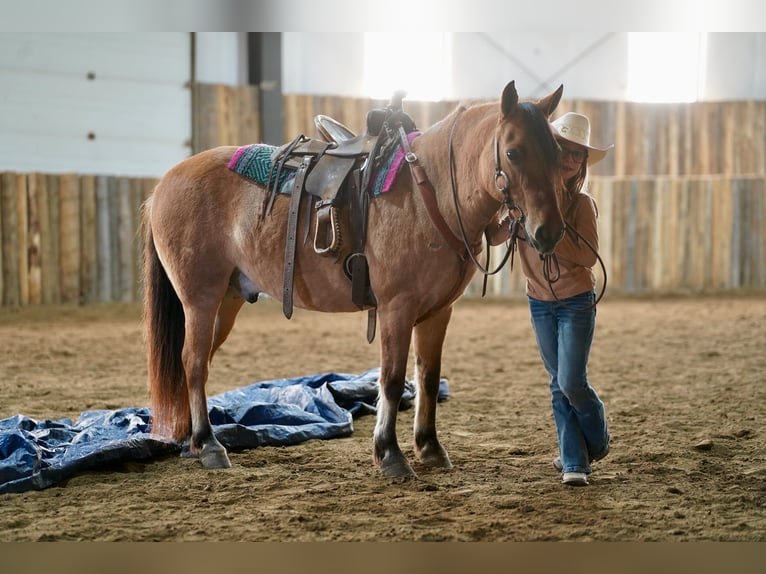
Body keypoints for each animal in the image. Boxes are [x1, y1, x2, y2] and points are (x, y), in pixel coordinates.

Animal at [142, 80, 565, 478]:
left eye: (556, 151)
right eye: (513, 152)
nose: (549, 232)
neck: (431, 193)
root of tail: (165, 182)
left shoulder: (437, 312)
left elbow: (428, 378)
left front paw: (429, 447)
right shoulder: (397, 308)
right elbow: (392, 380)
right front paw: (390, 454)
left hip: (226, 302)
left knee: (197, 364)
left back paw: (192, 442)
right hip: (200, 298)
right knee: (194, 361)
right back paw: (208, 444)